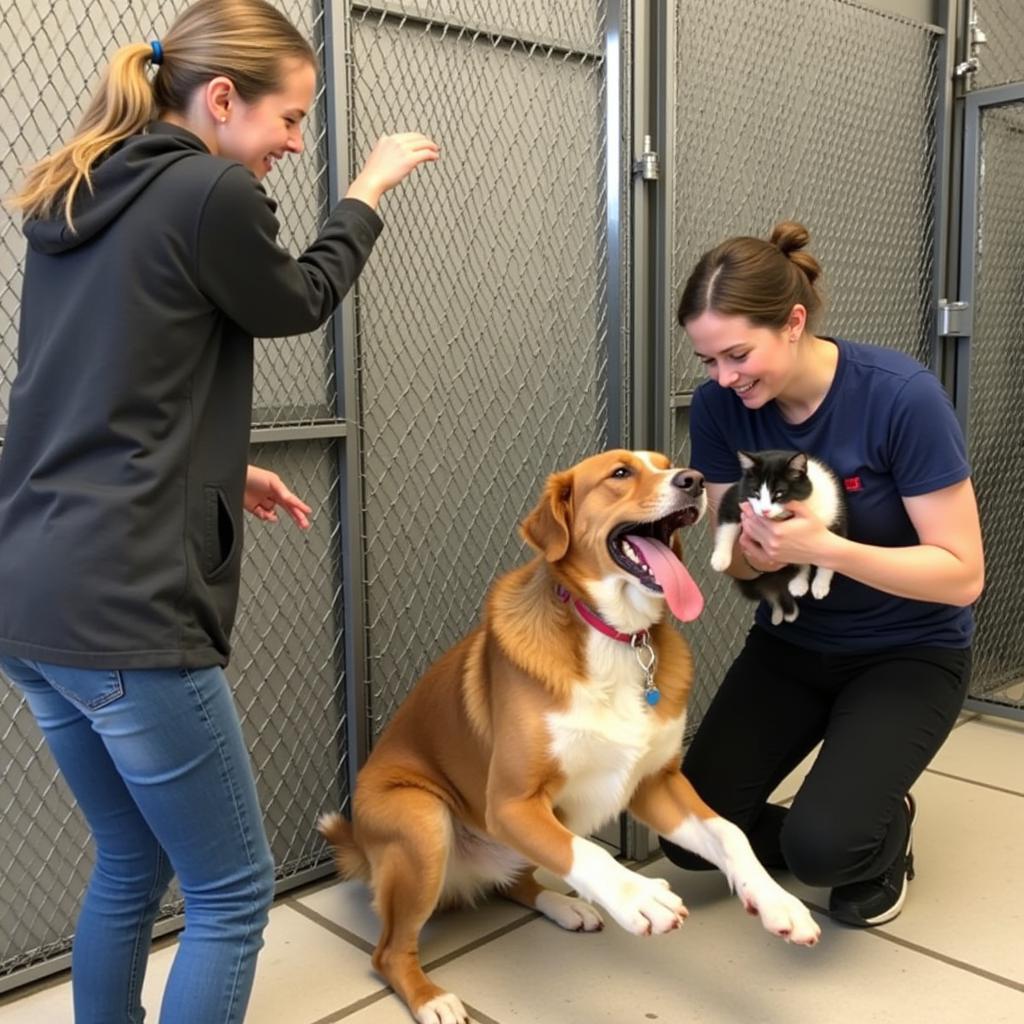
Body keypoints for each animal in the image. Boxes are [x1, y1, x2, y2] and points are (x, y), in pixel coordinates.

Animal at [315, 450, 819, 1024]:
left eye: (666, 463)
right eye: (621, 473)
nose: (693, 480)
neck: (616, 637)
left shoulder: (656, 784)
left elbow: (730, 833)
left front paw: (778, 902)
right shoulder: (511, 803)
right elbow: (587, 853)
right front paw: (639, 897)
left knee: (516, 883)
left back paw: (565, 905)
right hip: (422, 824)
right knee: (387, 952)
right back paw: (432, 998)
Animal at [712, 448, 847, 622]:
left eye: (779, 493)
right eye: (755, 491)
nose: (764, 510)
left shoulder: (835, 514)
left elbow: (830, 552)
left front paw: (820, 585)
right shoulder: (736, 494)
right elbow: (727, 523)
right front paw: (720, 559)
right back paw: (781, 612)